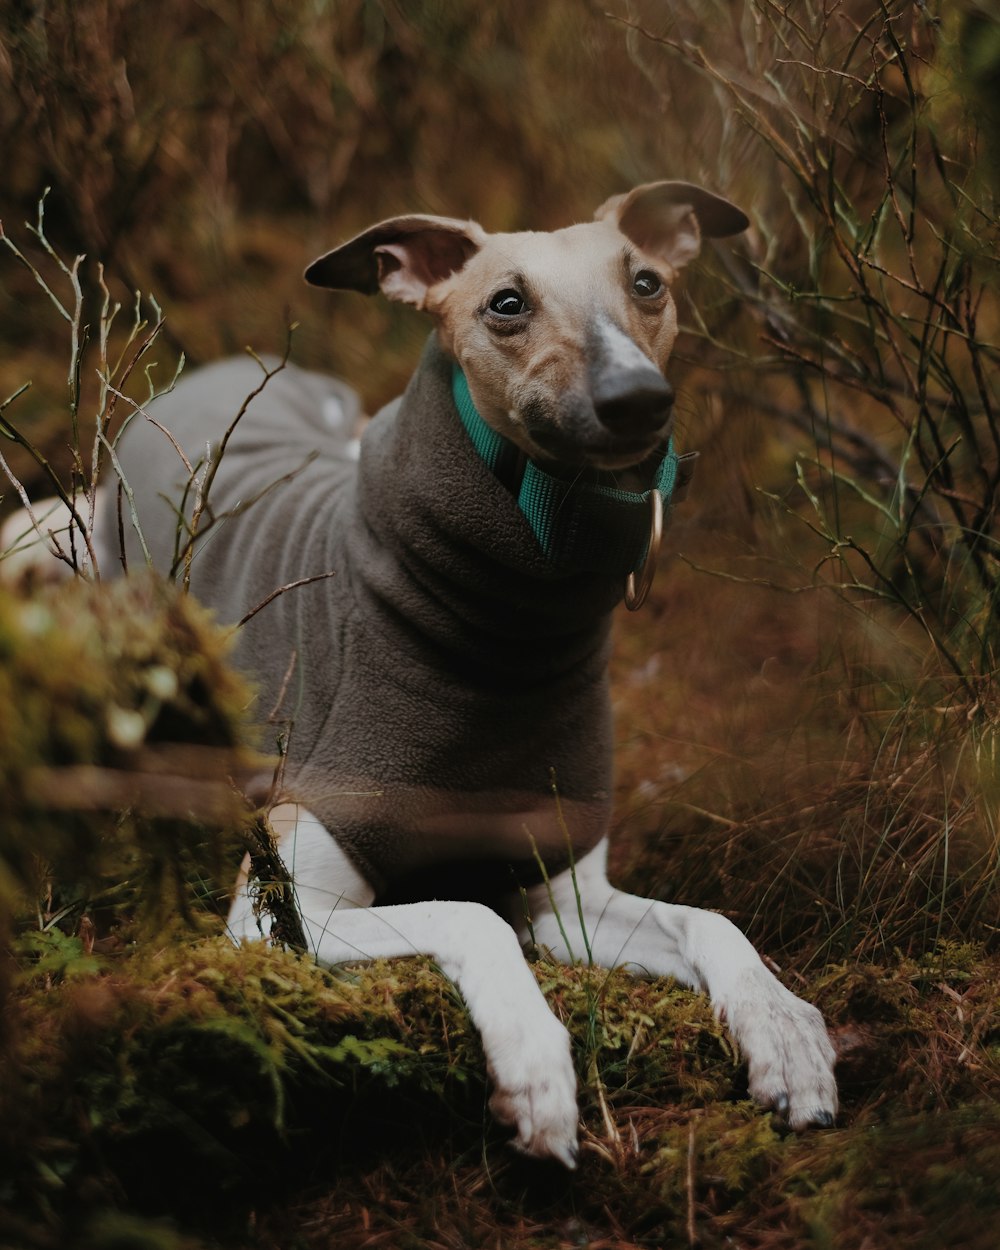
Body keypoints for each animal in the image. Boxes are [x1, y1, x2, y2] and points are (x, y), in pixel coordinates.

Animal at [3, 182, 840, 1160]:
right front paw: (534, 1063)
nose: (638, 398)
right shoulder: (280, 916)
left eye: (648, 284)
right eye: (505, 303)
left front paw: (782, 1029)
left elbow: (707, 918)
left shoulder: (567, 898)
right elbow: (471, 912)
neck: (507, 640)